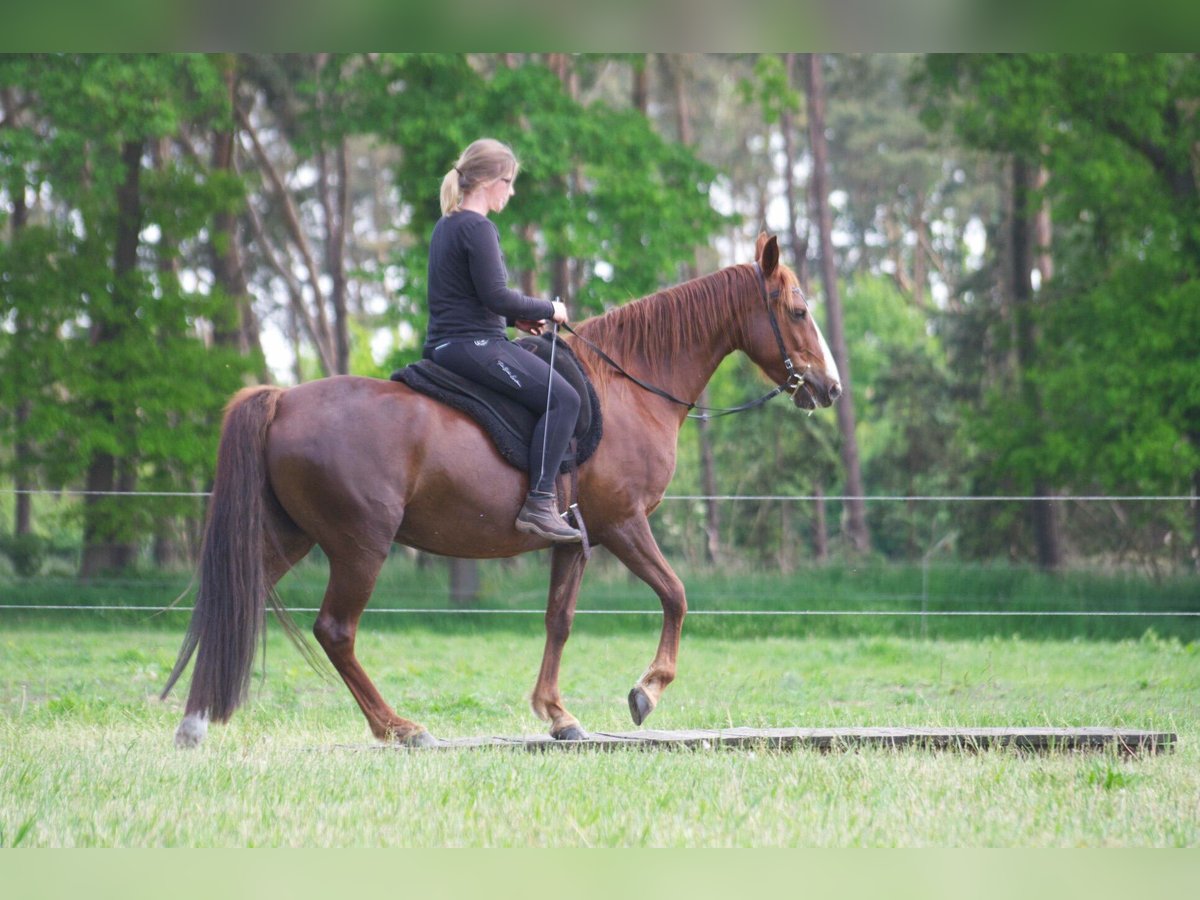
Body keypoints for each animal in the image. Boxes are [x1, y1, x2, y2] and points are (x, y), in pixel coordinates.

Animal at [162, 232, 844, 748]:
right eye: (799, 311)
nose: (831, 387)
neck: (631, 385)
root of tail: (282, 399)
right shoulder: (623, 524)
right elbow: (675, 595)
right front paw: (645, 691)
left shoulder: (575, 539)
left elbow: (558, 620)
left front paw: (558, 716)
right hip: (361, 544)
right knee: (335, 631)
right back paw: (399, 727)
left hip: (289, 536)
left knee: (236, 600)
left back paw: (195, 722)